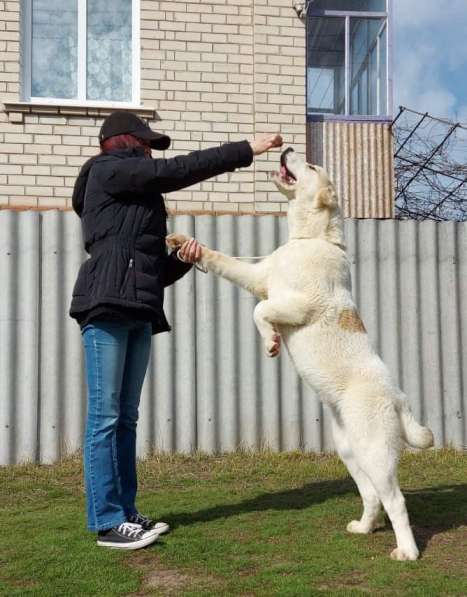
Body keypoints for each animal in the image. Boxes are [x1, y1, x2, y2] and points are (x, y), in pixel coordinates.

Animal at [165, 148, 436, 560]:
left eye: (310, 166)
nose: (287, 149)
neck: (313, 238)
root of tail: (398, 398)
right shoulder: (257, 277)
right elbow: (222, 261)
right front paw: (183, 242)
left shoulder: (296, 305)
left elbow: (259, 311)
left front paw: (271, 342)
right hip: (351, 451)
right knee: (372, 496)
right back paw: (363, 527)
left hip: (376, 452)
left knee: (396, 501)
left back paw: (407, 551)